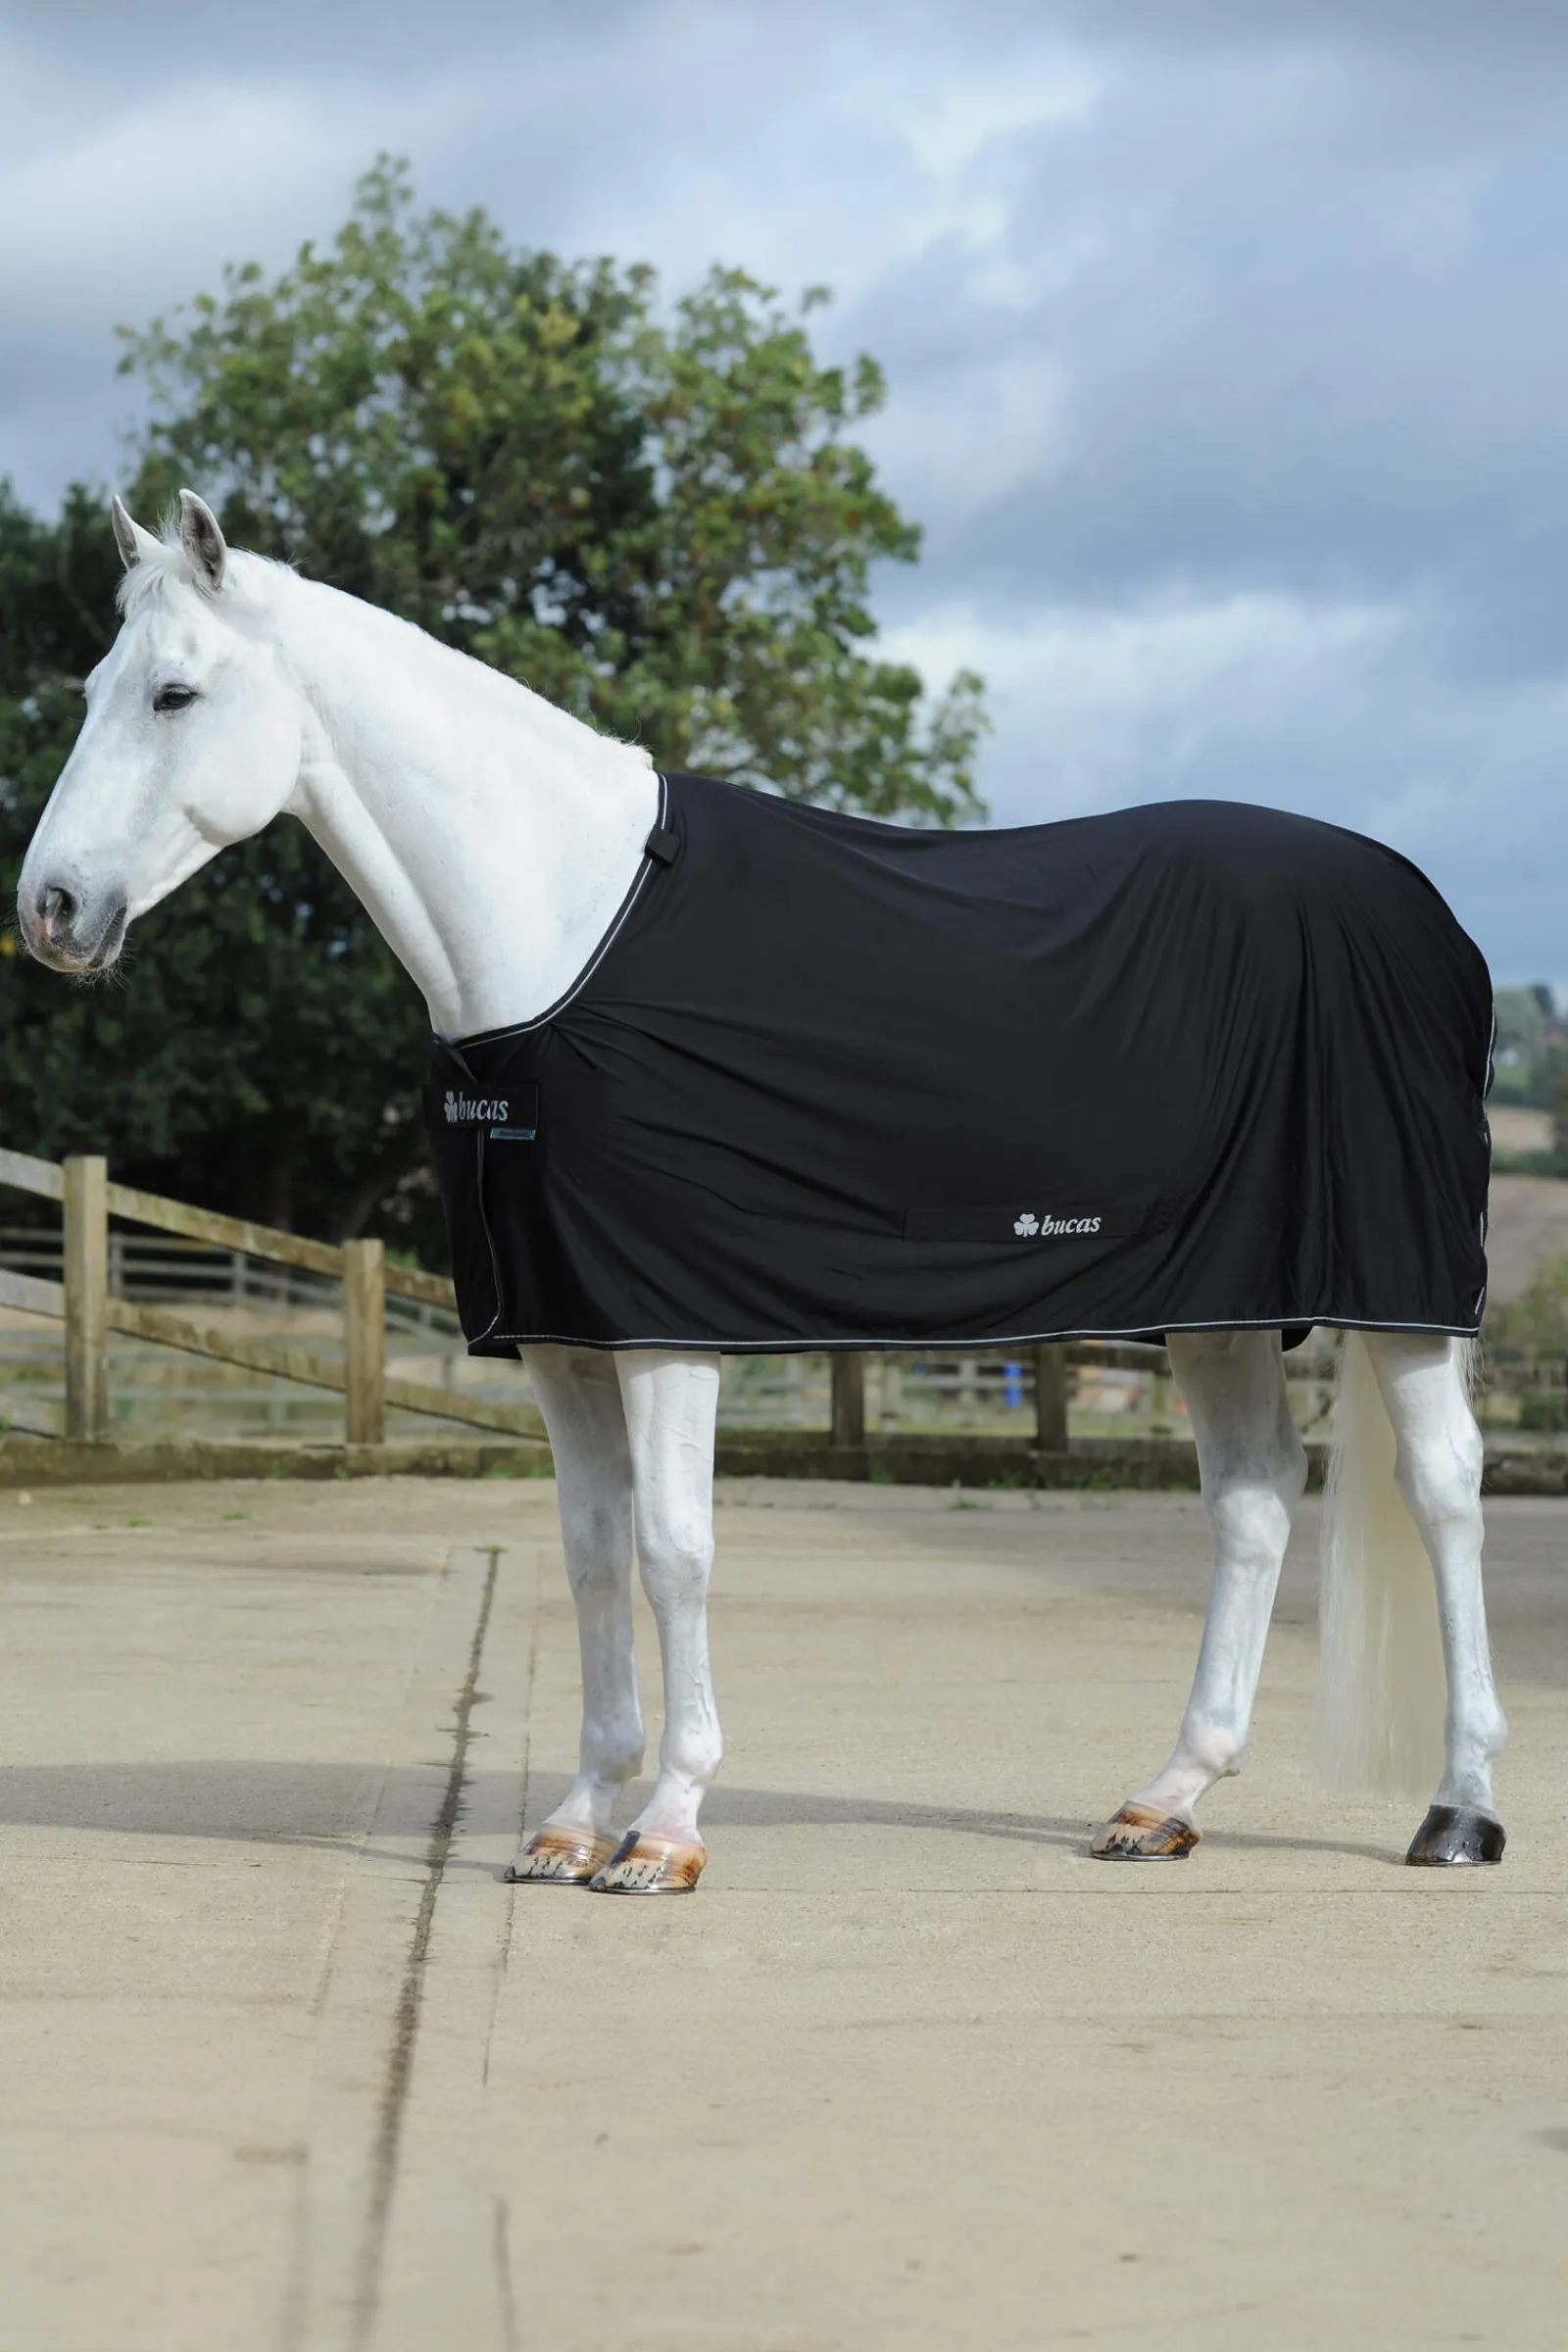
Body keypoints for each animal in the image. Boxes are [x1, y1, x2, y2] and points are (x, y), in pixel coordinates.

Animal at [15, 491, 1509, 1891]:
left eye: (173, 692)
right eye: (89, 688)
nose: (50, 911)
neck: (568, 930)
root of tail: (1430, 914)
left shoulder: (666, 1328)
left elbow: (675, 1550)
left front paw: (666, 1831)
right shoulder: (561, 1335)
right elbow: (591, 1549)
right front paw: (573, 1822)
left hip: (1398, 1298)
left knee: (1443, 1488)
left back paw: (1460, 1810)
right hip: (1217, 1303)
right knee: (1253, 1498)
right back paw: (1165, 1801)